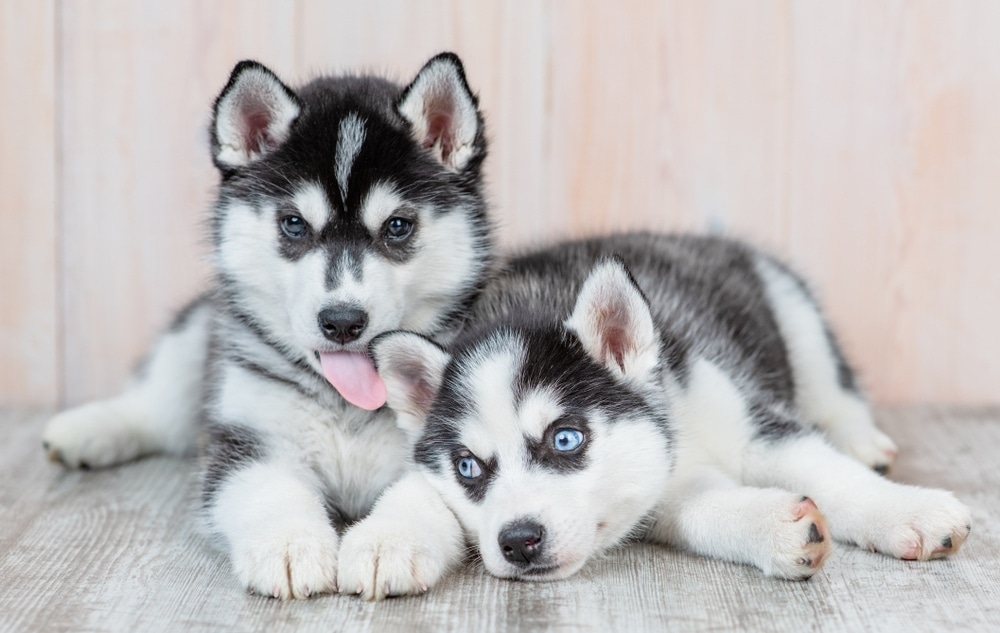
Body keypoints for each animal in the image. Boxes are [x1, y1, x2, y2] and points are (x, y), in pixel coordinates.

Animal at [40, 53, 492, 596]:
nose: (342, 321)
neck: (343, 403)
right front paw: (291, 544)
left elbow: (425, 492)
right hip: (201, 334)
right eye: (294, 224)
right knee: (158, 404)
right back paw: (88, 428)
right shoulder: (248, 438)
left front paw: (389, 541)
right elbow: (268, 489)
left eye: (398, 227)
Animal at [340, 235, 972, 600]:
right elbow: (703, 509)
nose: (518, 541)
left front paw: (910, 510)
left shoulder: (750, 426)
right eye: (468, 468)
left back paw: (860, 437)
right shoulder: (659, 486)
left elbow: (829, 473)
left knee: (832, 387)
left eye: (565, 439)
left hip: (791, 306)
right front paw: (387, 538)